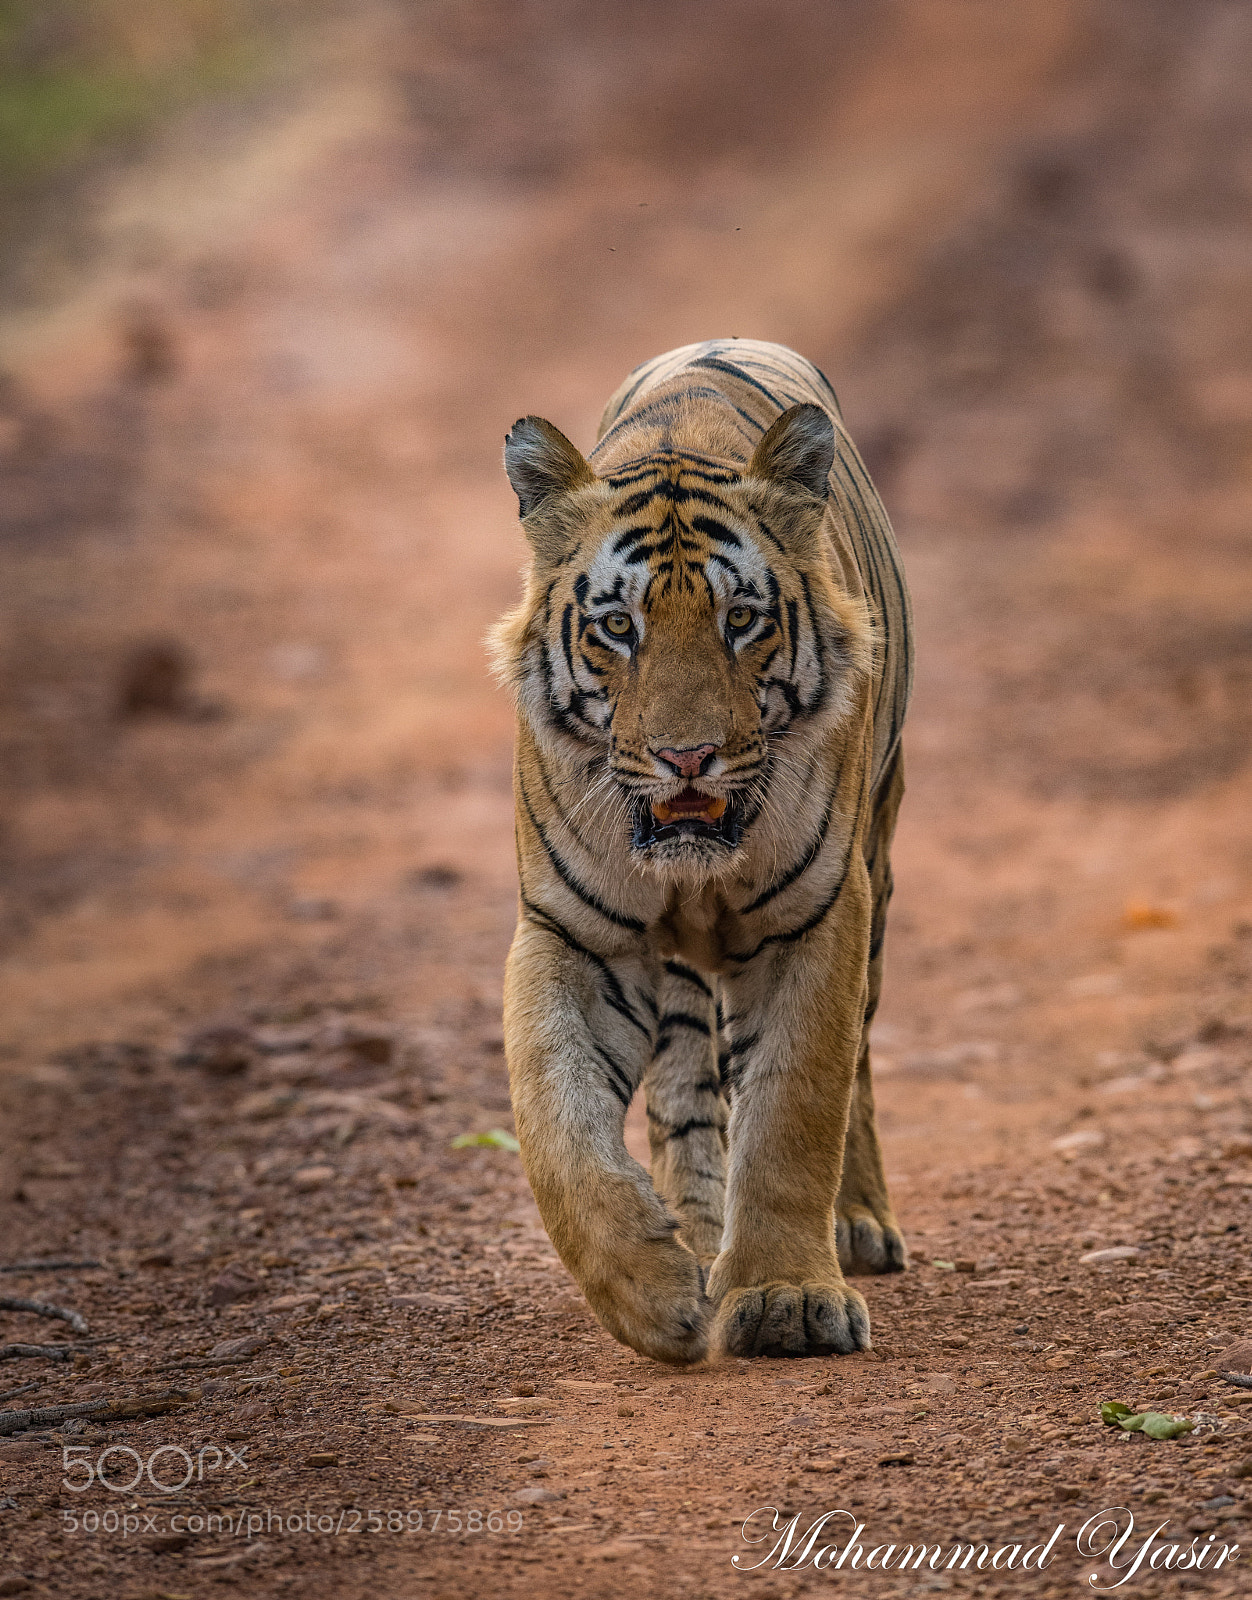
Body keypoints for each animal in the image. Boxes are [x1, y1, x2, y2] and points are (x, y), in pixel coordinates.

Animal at [491, 338, 912, 1365]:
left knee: (856, 1068)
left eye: (742, 619)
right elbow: (554, 1117)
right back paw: (693, 1229)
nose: (688, 757)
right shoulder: (574, 934)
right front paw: (652, 1296)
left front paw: (786, 1298)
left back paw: (855, 1226)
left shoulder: (818, 917)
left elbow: (796, 1106)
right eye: (617, 626)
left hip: (878, 871)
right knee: (685, 1087)